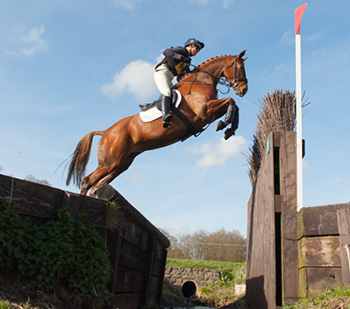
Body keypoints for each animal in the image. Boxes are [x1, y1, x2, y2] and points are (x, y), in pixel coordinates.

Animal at [65, 50, 246, 195]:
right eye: (239, 67)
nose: (244, 90)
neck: (201, 81)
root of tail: (106, 132)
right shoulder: (205, 110)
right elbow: (231, 101)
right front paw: (226, 123)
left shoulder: (209, 113)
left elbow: (234, 105)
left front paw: (229, 128)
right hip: (109, 162)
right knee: (88, 181)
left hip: (121, 164)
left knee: (97, 186)